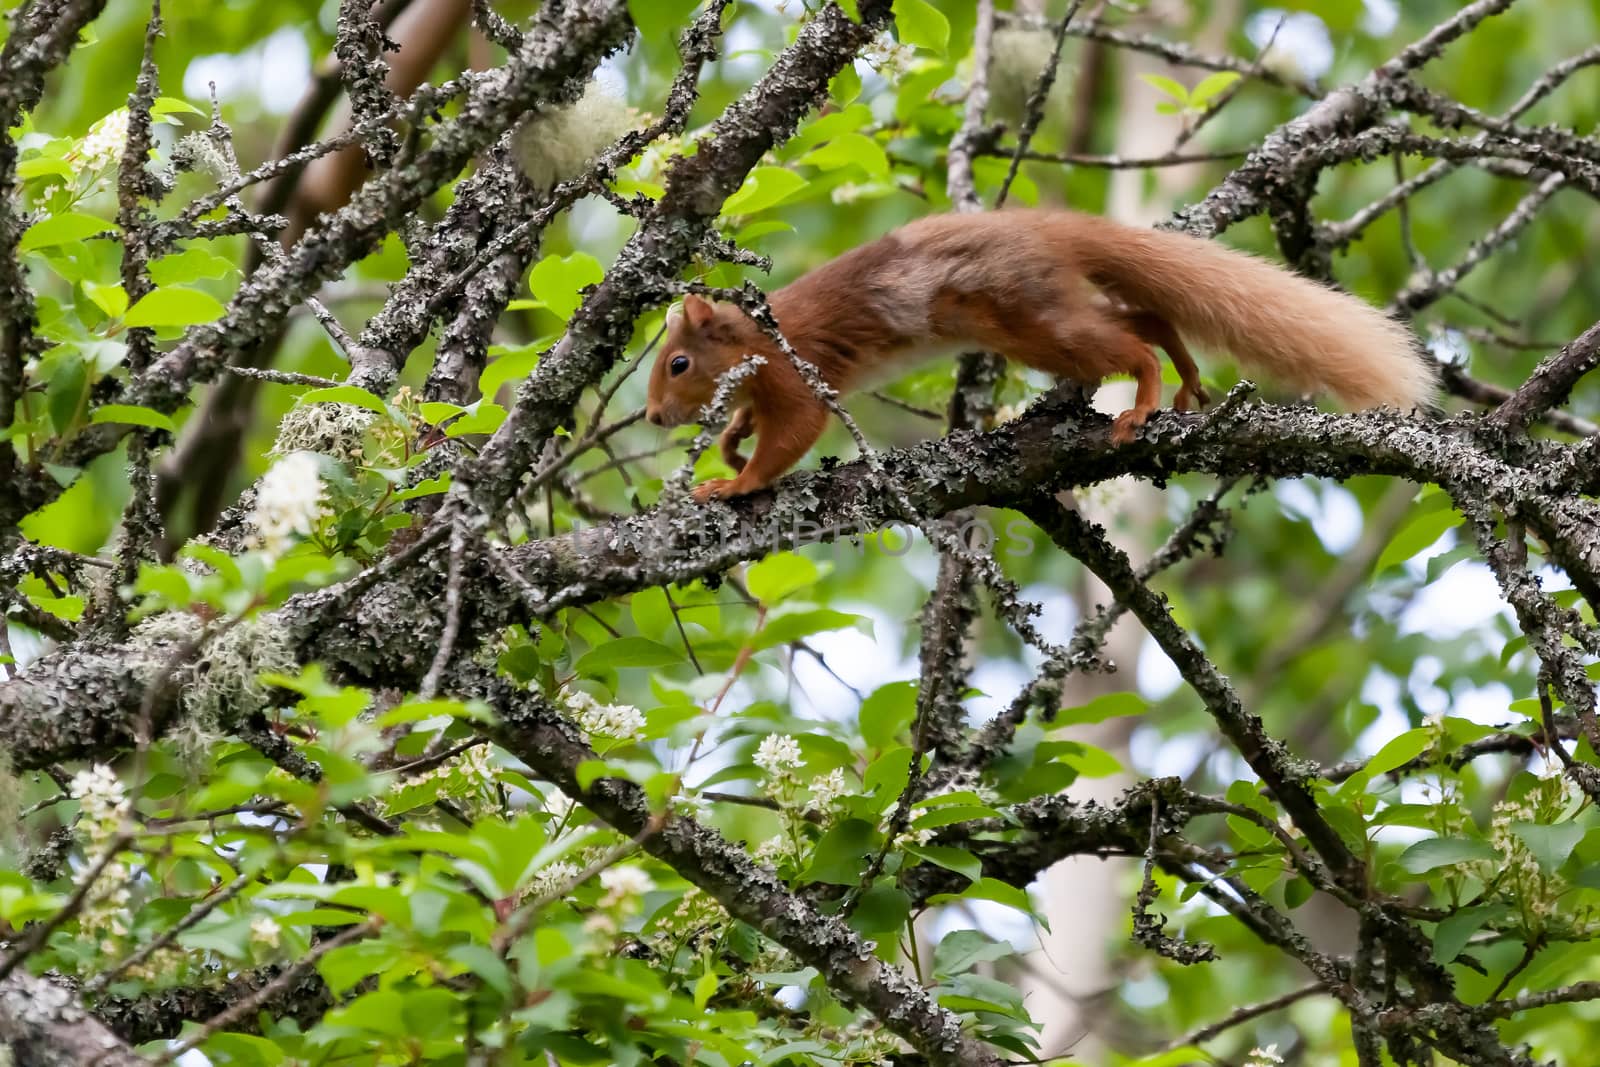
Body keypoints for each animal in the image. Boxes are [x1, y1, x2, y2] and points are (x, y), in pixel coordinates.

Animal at [643, 214, 1433, 508]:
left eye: (677, 363)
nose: (651, 416)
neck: (751, 338)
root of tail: (1049, 227)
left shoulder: (793, 372)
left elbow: (794, 434)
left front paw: (734, 482)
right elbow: (754, 421)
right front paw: (730, 438)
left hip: (1035, 324)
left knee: (1130, 344)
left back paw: (1145, 401)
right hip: (1043, 318)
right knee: (1146, 317)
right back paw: (1184, 377)